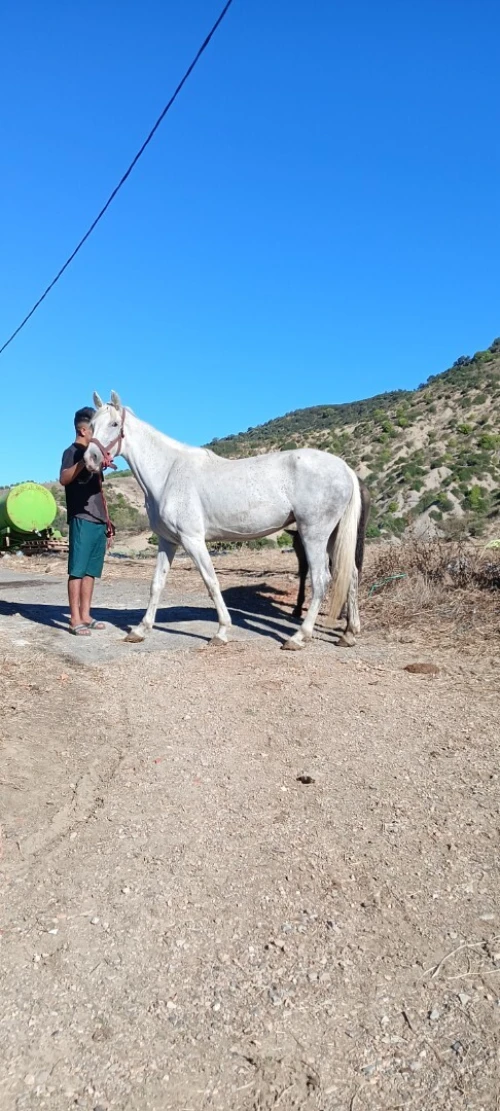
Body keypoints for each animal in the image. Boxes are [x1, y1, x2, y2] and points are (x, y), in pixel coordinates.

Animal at [84, 392, 362, 651]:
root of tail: (345, 469)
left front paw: (222, 632)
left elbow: (211, 582)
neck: (168, 473)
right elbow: (157, 584)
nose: (90, 459)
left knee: (321, 579)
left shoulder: (193, 540)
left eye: (114, 424)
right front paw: (140, 630)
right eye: (92, 425)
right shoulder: (167, 541)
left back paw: (298, 637)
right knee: (351, 574)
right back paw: (348, 634)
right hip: (332, 536)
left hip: (313, 534)